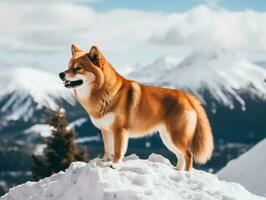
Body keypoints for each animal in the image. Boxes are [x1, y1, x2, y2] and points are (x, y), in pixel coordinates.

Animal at [58, 44, 214, 171]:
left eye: (78, 68)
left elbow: (118, 150)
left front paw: (114, 165)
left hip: (176, 136)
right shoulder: (105, 130)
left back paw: (185, 174)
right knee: (181, 156)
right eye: (68, 65)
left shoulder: (119, 130)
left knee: (188, 155)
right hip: (168, 138)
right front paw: (103, 162)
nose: (60, 74)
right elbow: (108, 149)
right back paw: (177, 172)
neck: (104, 91)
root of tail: (187, 96)